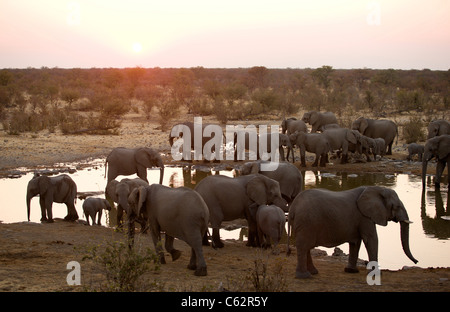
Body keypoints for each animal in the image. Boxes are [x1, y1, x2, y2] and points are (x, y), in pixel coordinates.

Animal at [288, 185, 418, 278]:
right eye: (397, 207)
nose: (416, 261)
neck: (377, 188)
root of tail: (293, 207)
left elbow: (356, 242)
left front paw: (351, 271)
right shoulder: (365, 217)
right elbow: (371, 239)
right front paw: (377, 274)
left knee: (306, 247)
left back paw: (313, 272)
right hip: (306, 222)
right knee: (304, 246)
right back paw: (305, 276)